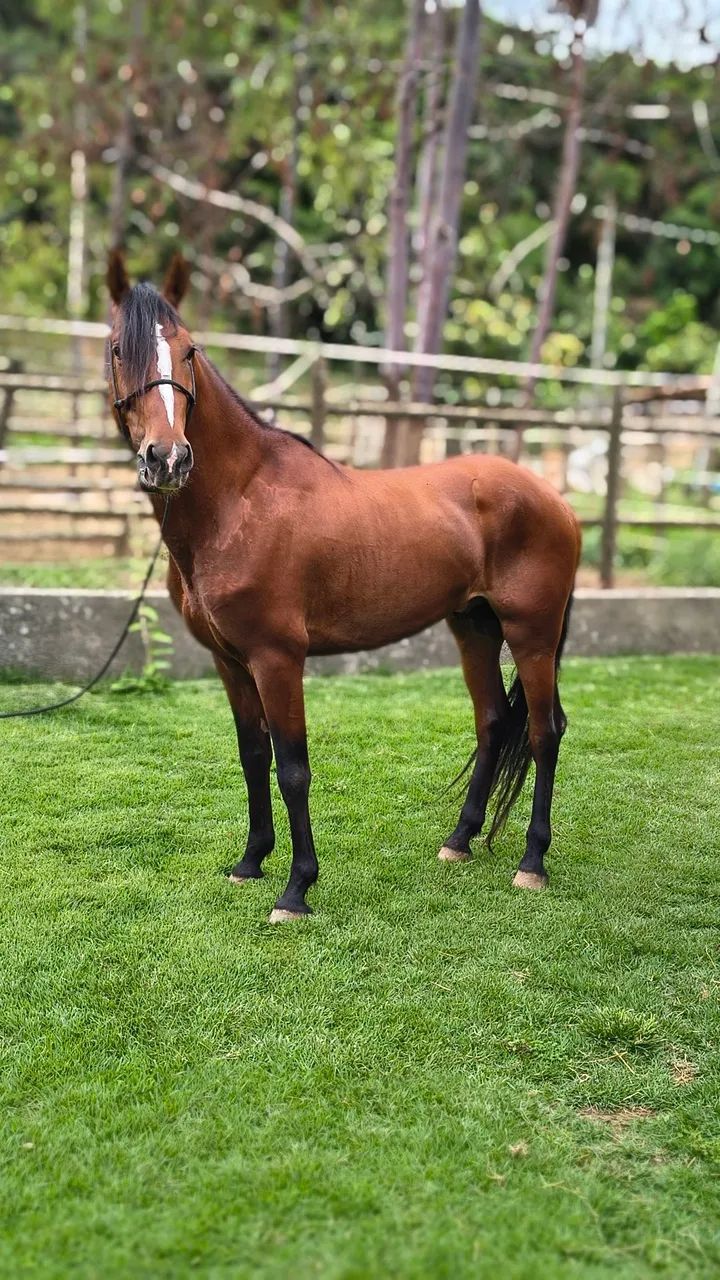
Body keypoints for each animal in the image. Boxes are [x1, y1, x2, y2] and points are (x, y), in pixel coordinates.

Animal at [106, 251, 581, 923]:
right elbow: (253, 757)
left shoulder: (277, 658)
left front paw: (296, 889)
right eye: (119, 349)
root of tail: (555, 500)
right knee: (492, 721)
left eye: (190, 350)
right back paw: (459, 841)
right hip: (475, 627)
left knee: (544, 732)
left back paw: (532, 863)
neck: (240, 501)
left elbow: (293, 768)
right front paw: (250, 863)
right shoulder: (230, 661)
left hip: (533, 635)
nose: (167, 458)